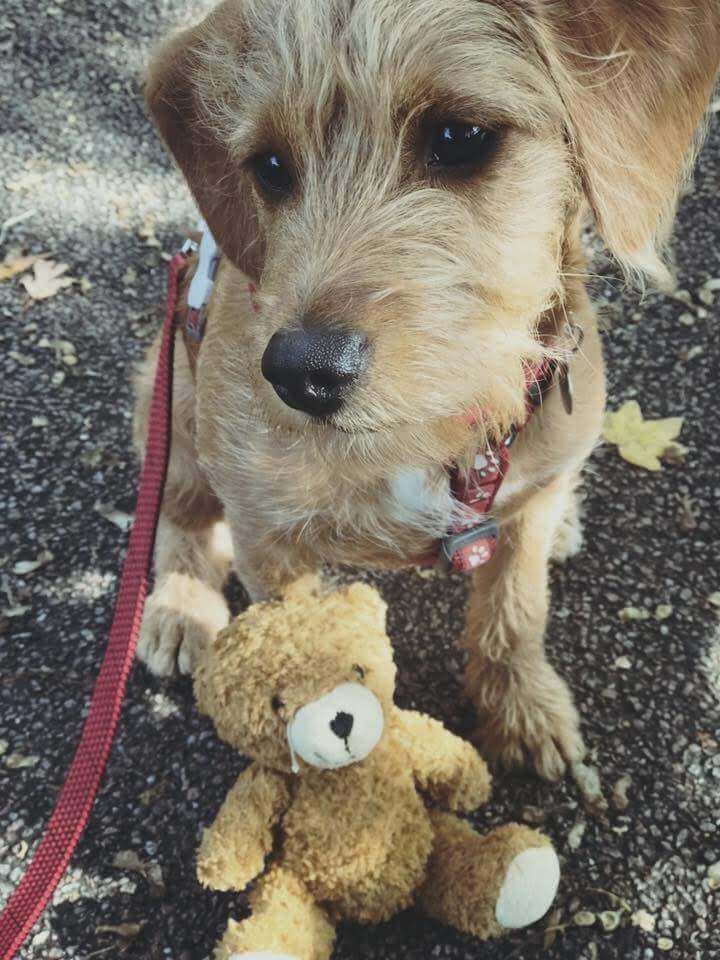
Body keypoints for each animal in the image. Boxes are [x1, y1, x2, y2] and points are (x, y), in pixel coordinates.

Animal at [134, 0, 720, 780]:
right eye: (270, 167)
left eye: (459, 137)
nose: (301, 372)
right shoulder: (265, 529)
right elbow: (301, 643)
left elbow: (514, 609)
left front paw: (521, 710)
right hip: (168, 391)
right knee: (181, 509)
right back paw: (180, 608)